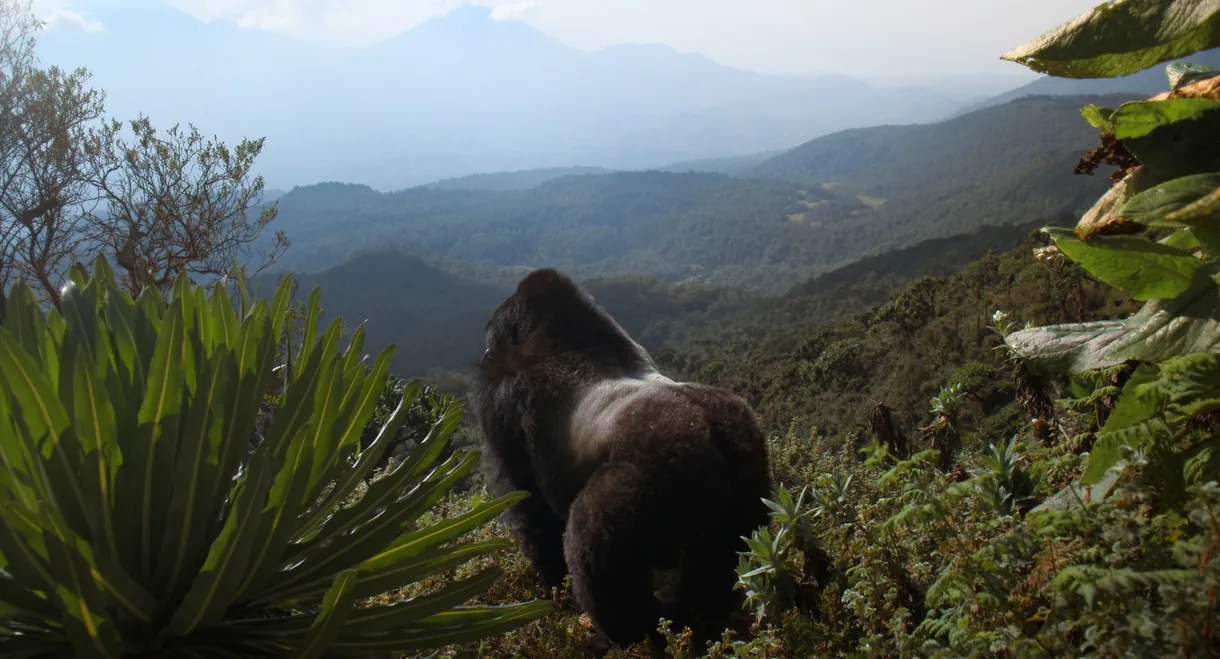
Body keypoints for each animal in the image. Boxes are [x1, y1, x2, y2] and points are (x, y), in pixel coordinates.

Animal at [470, 268, 772, 653]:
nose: (485, 352)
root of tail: (714, 428)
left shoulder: (500, 397)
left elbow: (531, 510)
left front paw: (552, 591)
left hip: (653, 474)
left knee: (590, 543)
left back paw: (622, 638)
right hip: (750, 471)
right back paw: (693, 627)